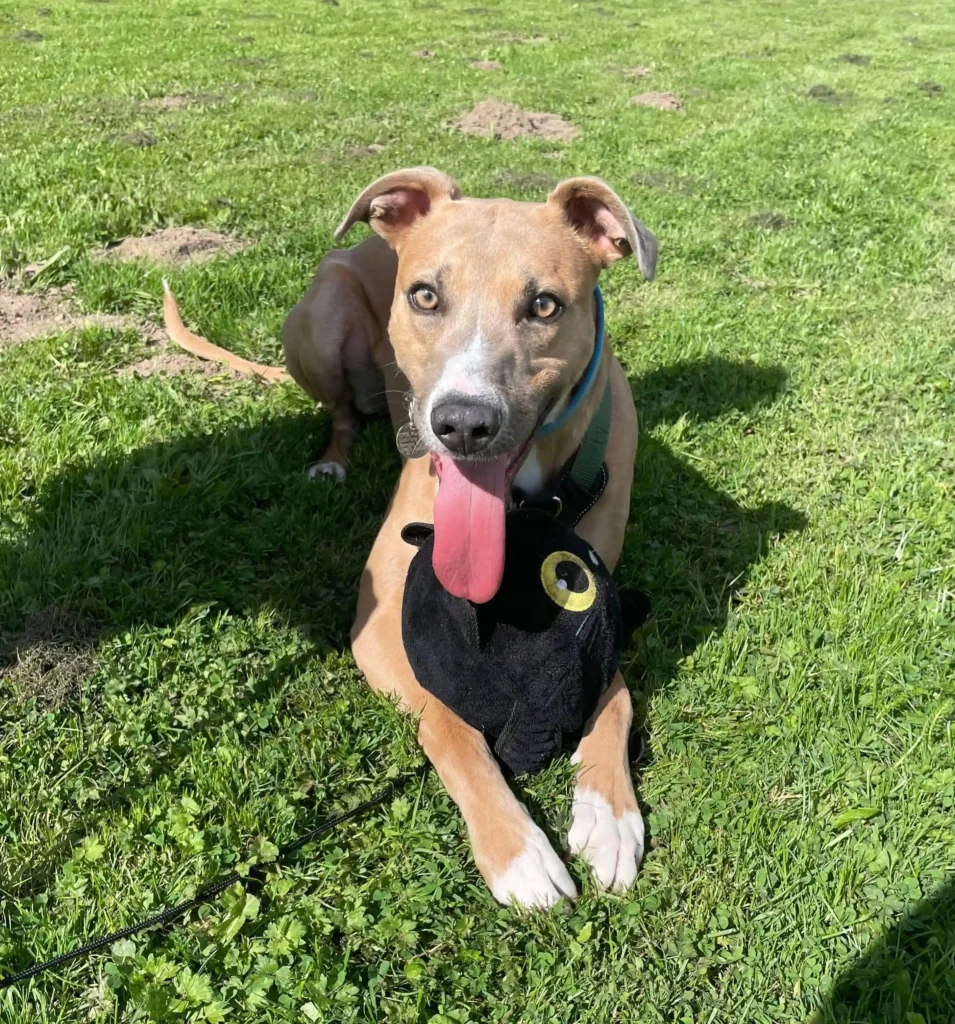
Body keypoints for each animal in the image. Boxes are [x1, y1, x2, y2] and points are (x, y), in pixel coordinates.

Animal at [163, 172, 655, 909]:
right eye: (425, 295)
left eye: (544, 304)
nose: (464, 425)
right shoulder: (378, 624)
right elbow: (448, 723)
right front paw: (519, 852)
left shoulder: (597, 596)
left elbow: (614, 692)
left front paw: (608, 814)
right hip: (323, 317)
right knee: (339, 415)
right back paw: (331, 462)